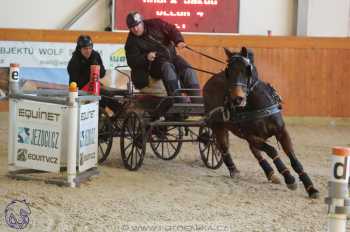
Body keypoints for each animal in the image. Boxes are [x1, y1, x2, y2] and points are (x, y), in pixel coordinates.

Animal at [202, 47, 320, 199]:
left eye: (247, 69)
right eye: (228, 71)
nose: (237, 99)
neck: (259, 104)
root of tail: (209, 82)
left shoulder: (281, 131)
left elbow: (293, 159)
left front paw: (311, 188)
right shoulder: (251, 136)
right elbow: (272, 150)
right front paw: (289, 178)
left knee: (254, 151)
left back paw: (270, 174)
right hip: (218, 126)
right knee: (224, 148)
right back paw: (234, 170)